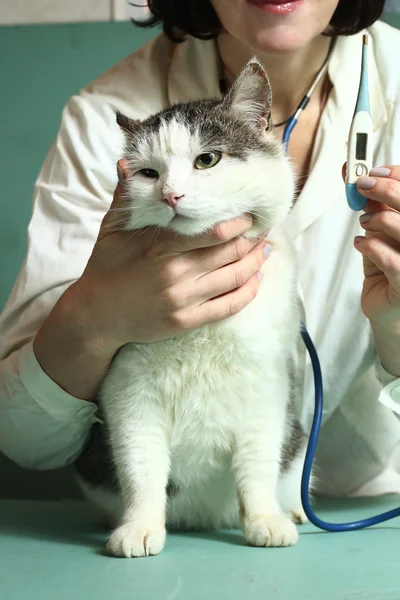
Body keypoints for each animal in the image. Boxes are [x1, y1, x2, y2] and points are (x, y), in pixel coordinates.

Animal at [74, 59, 310, 556]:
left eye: (208, 160)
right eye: (147, 173)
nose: (171, 195)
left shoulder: (265, 388)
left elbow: (257, 464)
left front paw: (264, 519)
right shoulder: (129, 391)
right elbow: (141, 466)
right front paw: (140, 526)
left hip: (298, 435)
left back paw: (291, 510)